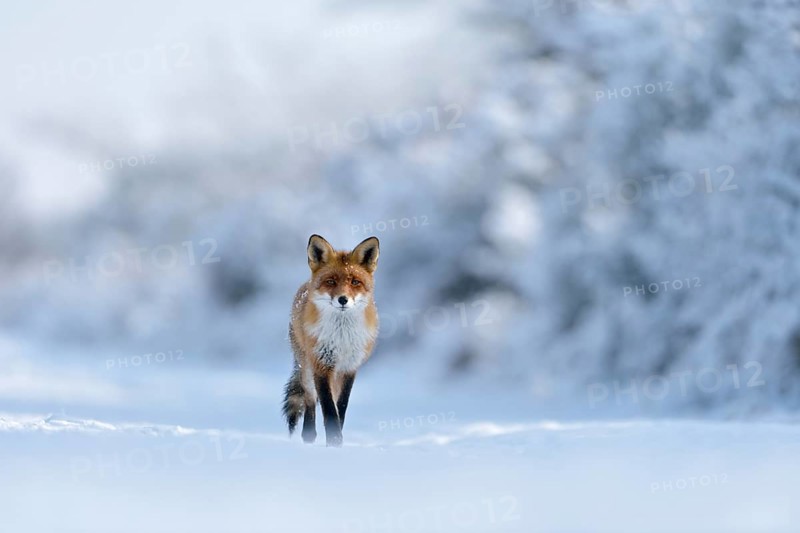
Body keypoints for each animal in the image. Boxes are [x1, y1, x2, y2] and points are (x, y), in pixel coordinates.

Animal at [282, 234, 380, 447]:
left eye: (355, 282)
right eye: (331, 281)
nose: (343, 300)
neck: (341, 337)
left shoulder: (349, 368)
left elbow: (340, 406)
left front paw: (336, 441)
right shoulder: (321, 364)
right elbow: (328, 407)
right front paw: (334, 441)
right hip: (306, 369)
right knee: (310, 400)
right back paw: (308, 437)